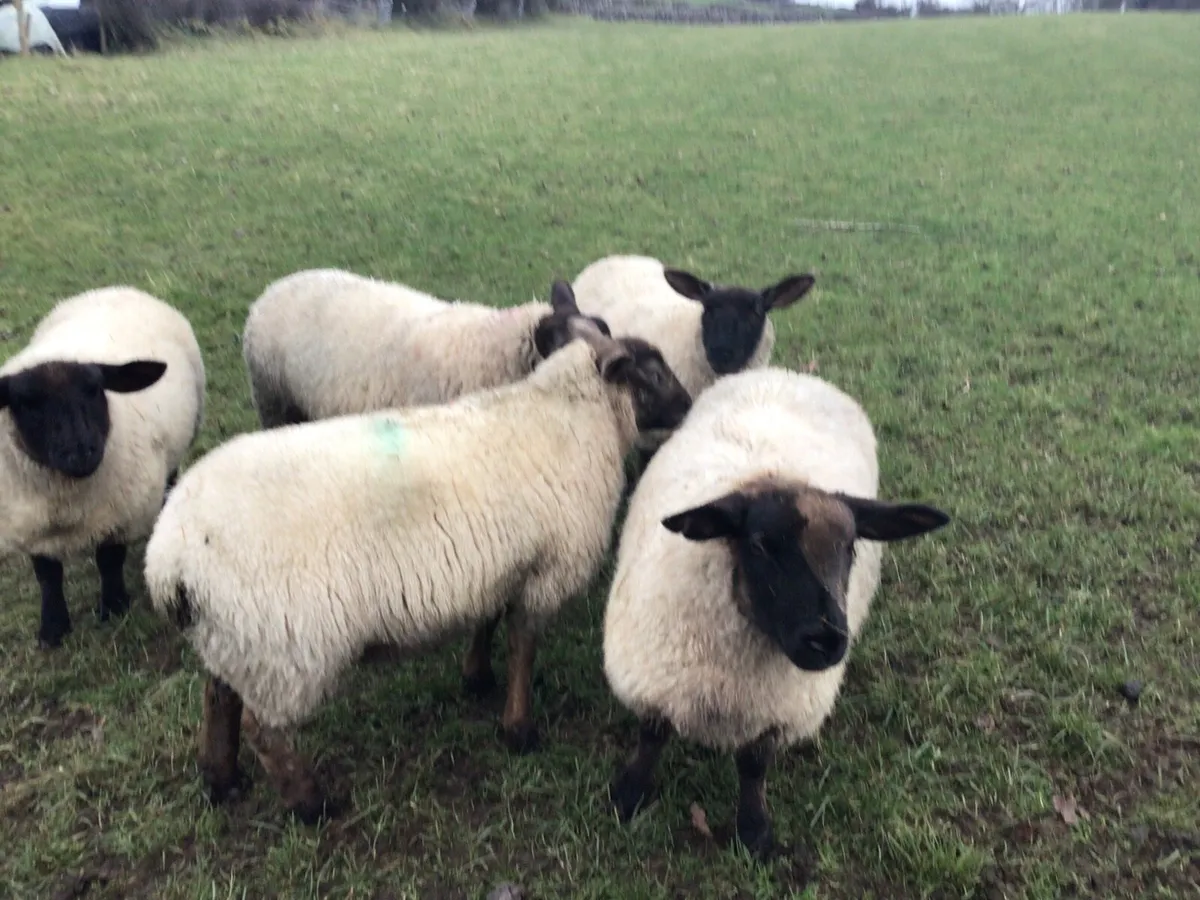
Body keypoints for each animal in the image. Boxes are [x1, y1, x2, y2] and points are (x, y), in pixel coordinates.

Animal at [0, 286, 206, 648]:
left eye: (94, 389)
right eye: (26, 403)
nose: (81, 451)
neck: (66, 501)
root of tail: (116, 288)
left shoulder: (119, 512)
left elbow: (109, 560)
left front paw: (113, 607)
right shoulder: (31, 523)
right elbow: (47, 575)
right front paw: (52, 628)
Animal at [142, 301, 693, 824]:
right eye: (653, 373)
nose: (689, 405)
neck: (578, 417)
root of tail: (169, 558)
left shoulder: (500, 563)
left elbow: (489, 619)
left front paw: (477, 677)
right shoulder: (547, 571)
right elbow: (524, 646)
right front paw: (519, 729)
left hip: (235, 635)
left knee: (218, 697)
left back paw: (221, 778)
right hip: (283, 647)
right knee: (264, 729)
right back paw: (310, 803)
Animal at [601, 367, 950, 859]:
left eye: (850, 547)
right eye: (762, 543)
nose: (825, 640)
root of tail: (788, 373)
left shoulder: (776, 710)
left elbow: (753, 765)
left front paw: (754, 831)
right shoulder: (657, 680)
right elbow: (651, 736)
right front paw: (628, 794)